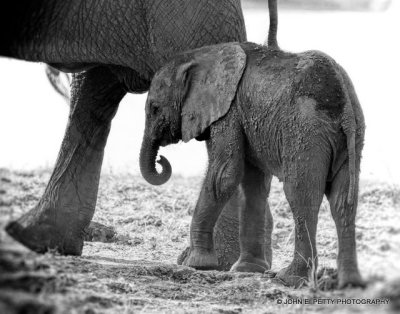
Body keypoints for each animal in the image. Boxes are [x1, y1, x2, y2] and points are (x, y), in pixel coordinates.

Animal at [140, 42, 366, 290]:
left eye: (154, 108)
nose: (161, 161)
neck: (202, 56)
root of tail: (345, 108)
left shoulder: (229, 112)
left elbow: (224, 175)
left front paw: (196, 264)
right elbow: (253, 185)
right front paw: (247, 270)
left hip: (306, 134)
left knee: (301, 196)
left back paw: (289, 279)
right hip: (352, 137)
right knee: (343, 202)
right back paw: (350, 284)